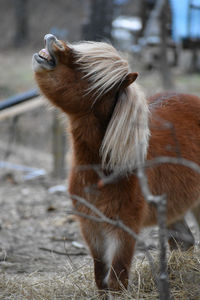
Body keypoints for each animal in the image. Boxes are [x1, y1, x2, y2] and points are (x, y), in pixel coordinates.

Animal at [32, 34, 200, 292]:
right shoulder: (92, 228)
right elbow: (101, 278)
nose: (52, 39)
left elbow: (117, 279)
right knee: (184, 242)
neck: (104, 169)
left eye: (86, 70)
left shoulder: (124, 230)